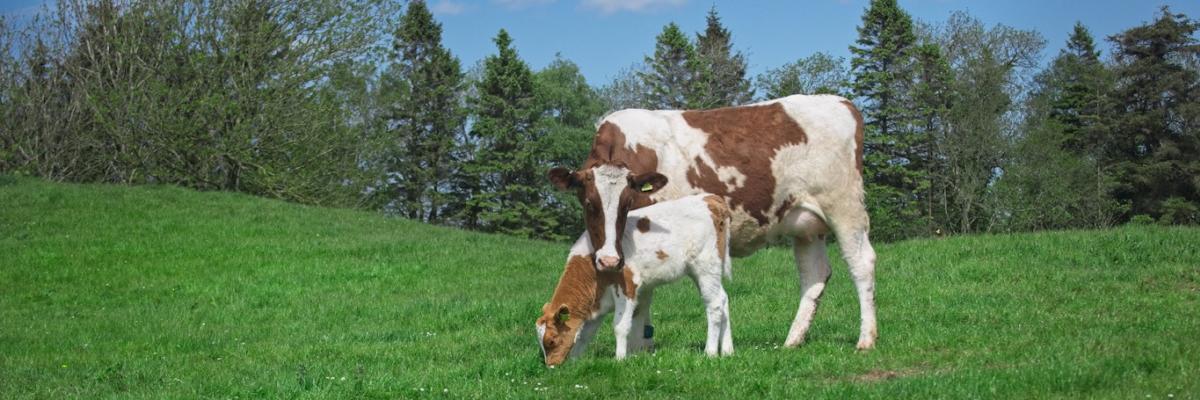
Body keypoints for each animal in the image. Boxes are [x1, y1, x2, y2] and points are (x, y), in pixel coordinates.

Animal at [537, 193, 729, 365]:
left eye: (551, 341)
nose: (551, 366)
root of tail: (710, 198)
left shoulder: (627, 285)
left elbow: (620, 326)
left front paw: (620, 359)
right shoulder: (598, 302)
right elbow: (585, 334)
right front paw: (575, 362)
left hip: (706, 267)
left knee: (714, 305)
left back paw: (710, 352)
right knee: (723, 299)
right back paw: (728, 351)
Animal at [549, 93, 878, 348]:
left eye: (627, 202)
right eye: (587, 202)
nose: (607, 259)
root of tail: (841, 102)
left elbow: (642, 296)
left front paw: (636, 349)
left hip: (844, 207)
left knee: (862, 263)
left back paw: (865, 339)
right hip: (805, 226)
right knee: (814, 274)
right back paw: (792, 341)